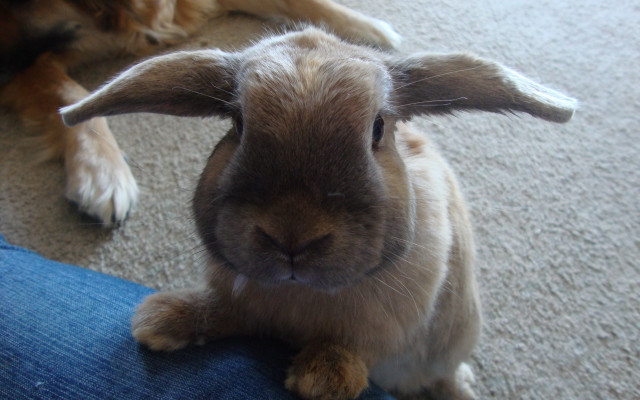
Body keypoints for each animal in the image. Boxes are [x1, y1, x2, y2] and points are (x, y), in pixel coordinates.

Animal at [60, 28, 576, 399]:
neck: (299, 298)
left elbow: (356, 348)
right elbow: (224, 312)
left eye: (378, 129)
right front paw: (161, 321)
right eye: (237, 124)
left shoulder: (386, 330)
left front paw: (323, 377)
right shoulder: (244, 304)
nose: (293, 237)